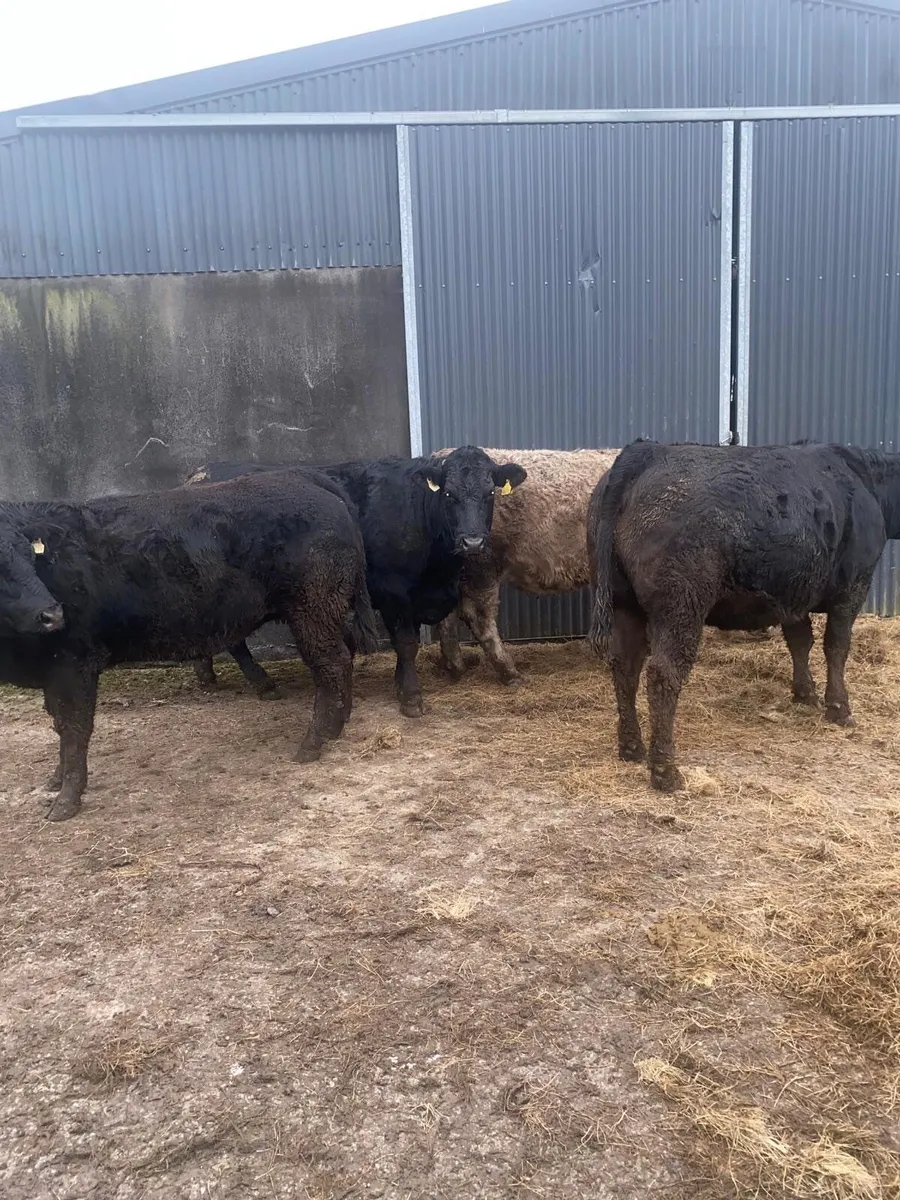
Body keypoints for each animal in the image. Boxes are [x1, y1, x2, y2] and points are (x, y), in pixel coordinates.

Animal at [0, 470, 379, 821]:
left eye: (27, 556)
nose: (51, 614)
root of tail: (304, 477)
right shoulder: (53, 673)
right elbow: (58, 723)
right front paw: (55, 779)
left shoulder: (75, 663)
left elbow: (74, 728)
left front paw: (66, 799)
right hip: (328, 610)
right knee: (341, 658)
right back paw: (336, 725)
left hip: (313, 610)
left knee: (331, 665)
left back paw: (313, 742)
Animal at [184, 448, 528, 717]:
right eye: (448, 494)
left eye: (490, 493)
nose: (472, 542)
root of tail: (200, 473)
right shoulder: (393, 593)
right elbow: (406, 644)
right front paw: (411, 697)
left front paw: (399, 684)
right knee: (234, 639)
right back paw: (263, 683)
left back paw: (207, 675)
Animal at [587, 439, 900, 793]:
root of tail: (647, 451)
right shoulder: (853, 587)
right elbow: (836, 647)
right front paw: (839, 708)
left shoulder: (794, 592)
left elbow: (800, 642)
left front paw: (805, 694)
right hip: (680, 605)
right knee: (663, 674)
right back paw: (666, 771)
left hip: (624, 602)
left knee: (625, 667)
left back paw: (632, 748)